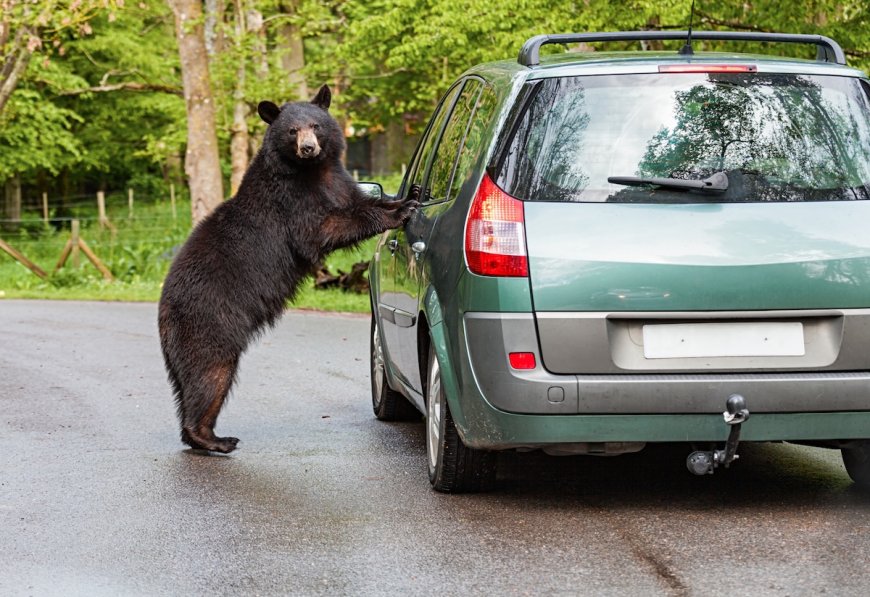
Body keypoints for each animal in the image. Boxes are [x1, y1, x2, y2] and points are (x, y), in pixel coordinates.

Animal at [158, 85, 417, 454]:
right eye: (292, 130)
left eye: (315, 125)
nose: (309, 148)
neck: (312, 171)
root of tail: (163, 309)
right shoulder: (291, 201)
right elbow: (322, 228)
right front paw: (399, 211)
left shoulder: (338, 181)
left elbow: (358, 201)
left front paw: (403, 198)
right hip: (208, 321)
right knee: (210, 374)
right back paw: (213, 438)